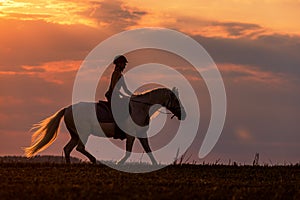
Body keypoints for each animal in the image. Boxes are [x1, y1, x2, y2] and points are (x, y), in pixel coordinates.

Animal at [24, 86, 186, 165]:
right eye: (176, 100)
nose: (183, 114)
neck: (141, 108)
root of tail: (67, 109)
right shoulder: (131, 135)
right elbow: (128, 152)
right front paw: (119, 163)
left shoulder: (141, 135)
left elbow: (148, 150)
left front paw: (155, 164)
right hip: (83, 133)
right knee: (79, 148)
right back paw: (94, 160)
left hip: (75, 134)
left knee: (68, 148)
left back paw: (70, 165)